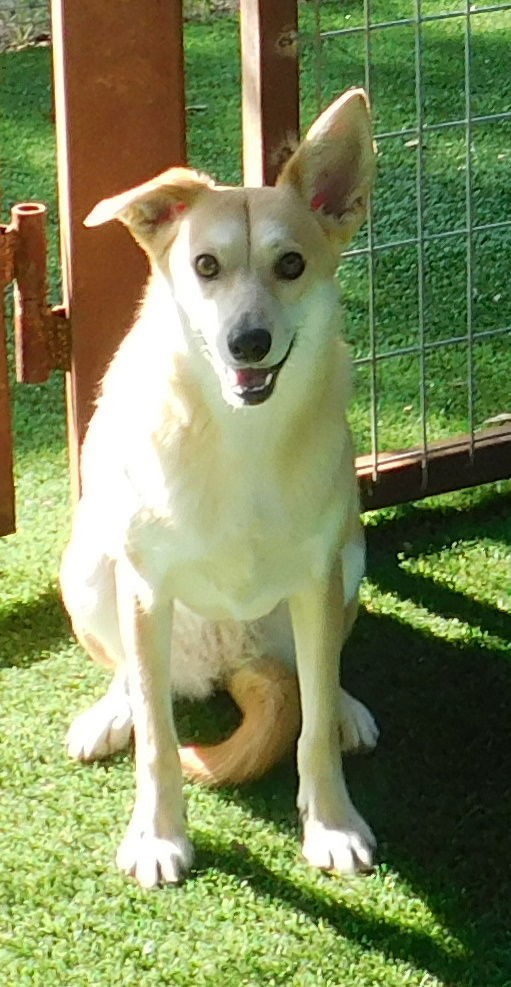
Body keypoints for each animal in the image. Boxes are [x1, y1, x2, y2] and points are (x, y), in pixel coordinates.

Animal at [61, 87, 380, 888]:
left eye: (291, 263)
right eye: (204, 264)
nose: (248, 342)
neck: (237, 432)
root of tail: (228, 655)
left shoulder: (317, 575)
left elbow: (310, 731)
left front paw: (331, 823)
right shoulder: (144, 586)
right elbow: (158, 742)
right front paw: (157, 835)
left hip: (348, 560)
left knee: (321, 670)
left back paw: (344, 708)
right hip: (90, 567)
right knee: (136, 682)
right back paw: (110, 714)